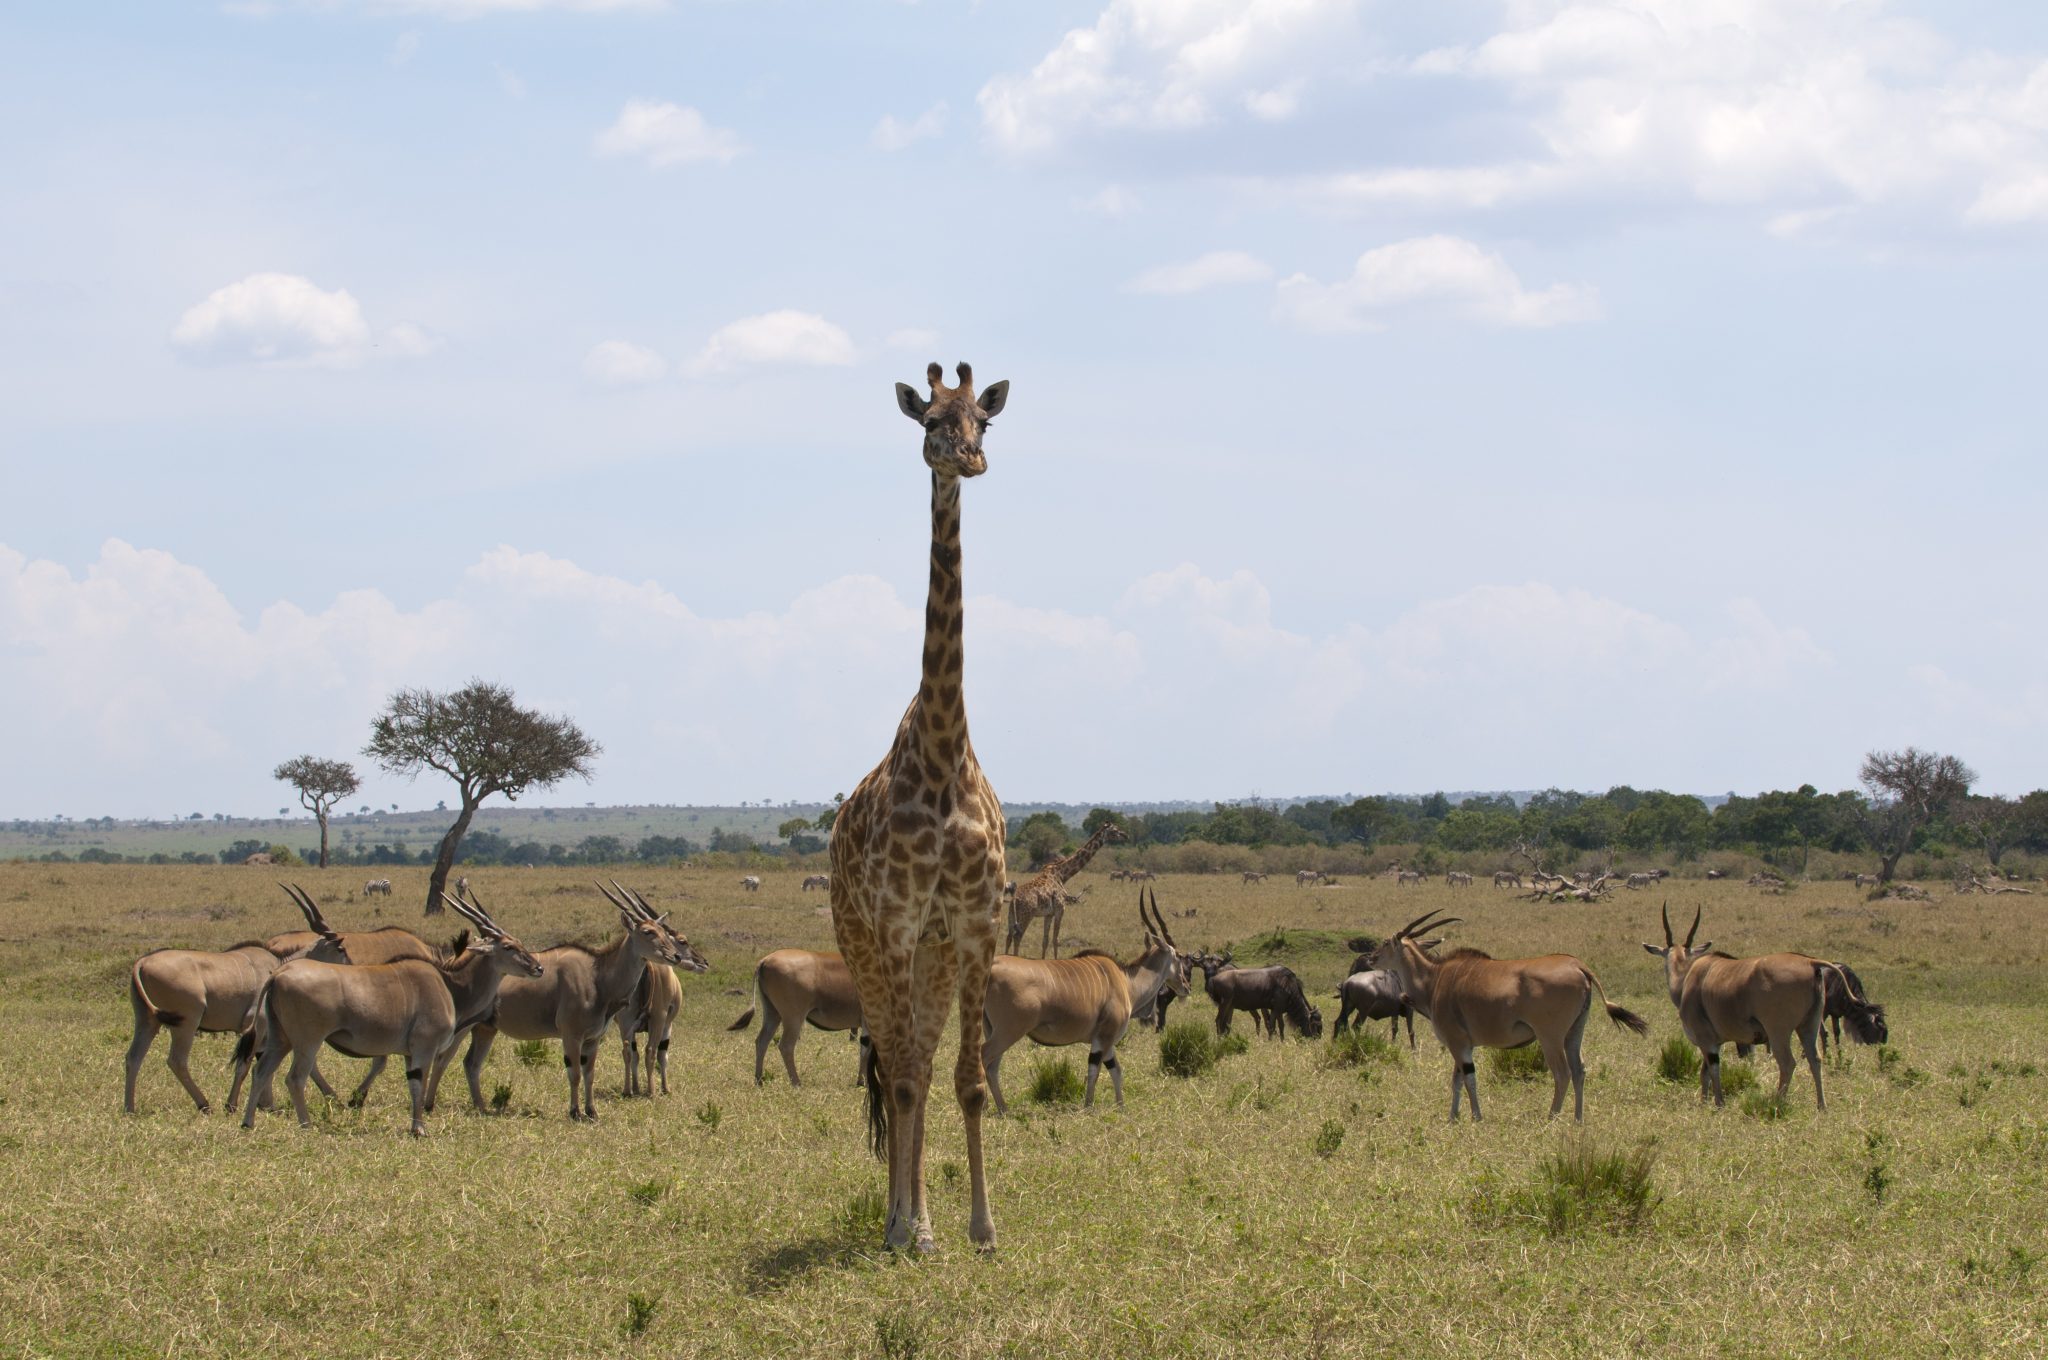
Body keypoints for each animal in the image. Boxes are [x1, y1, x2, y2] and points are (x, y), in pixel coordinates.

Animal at [1004, 821, 1128, 958]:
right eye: (1114, 830)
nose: (1126, 835)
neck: (1062, 874)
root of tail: (1015, 900)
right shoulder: (1061, 909)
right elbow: (1055, 940)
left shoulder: (1049, 914)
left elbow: (1045, 940)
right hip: (1026, 915)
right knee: (1017, 937)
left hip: (1011, 915)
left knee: (1008, 937)